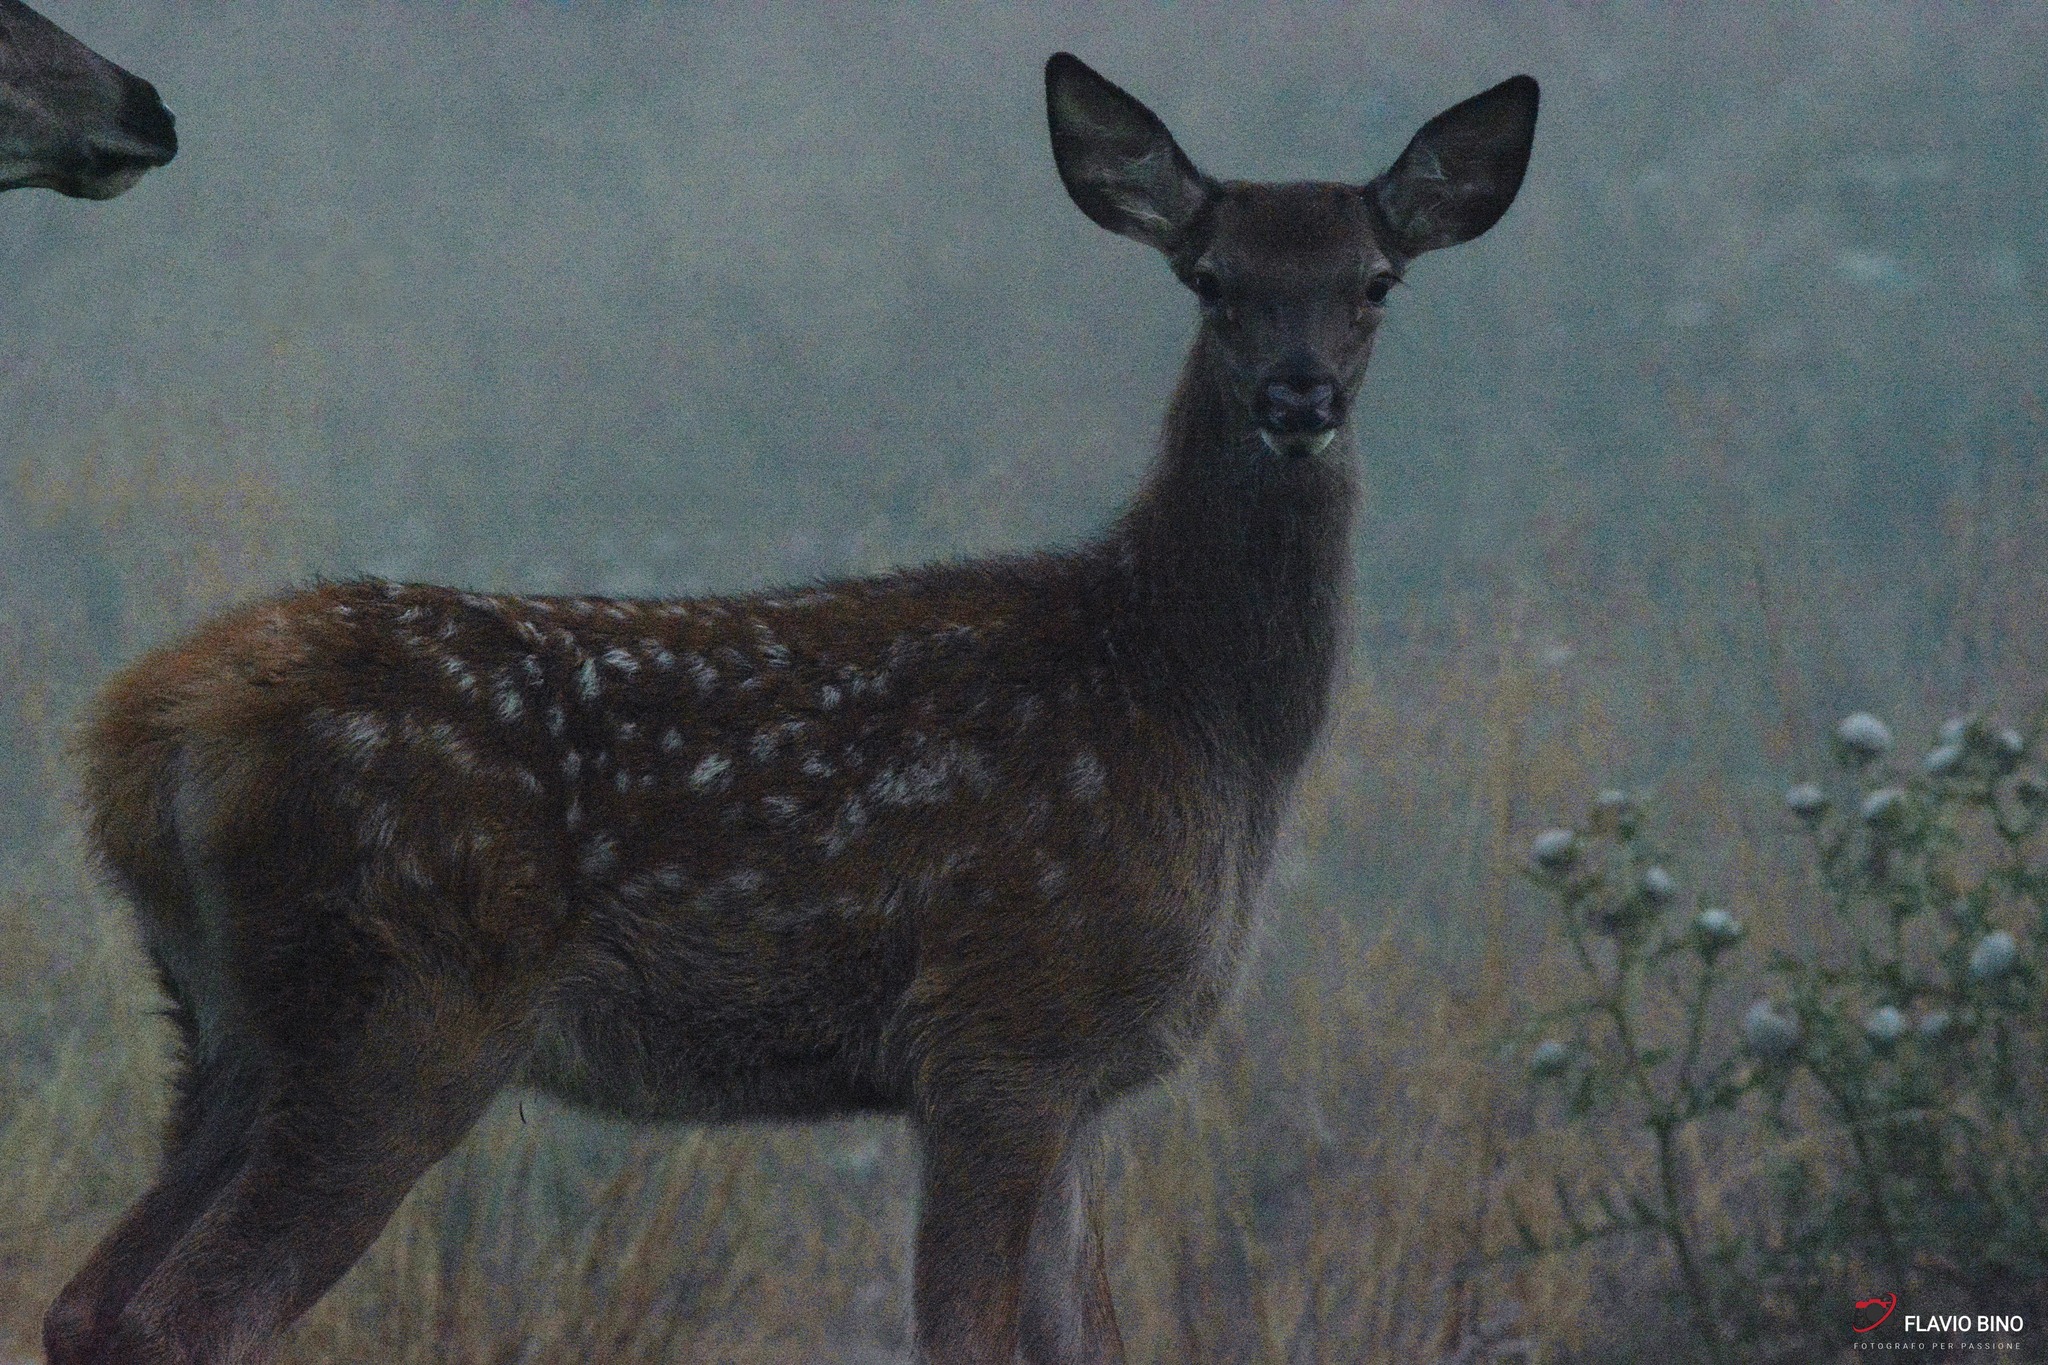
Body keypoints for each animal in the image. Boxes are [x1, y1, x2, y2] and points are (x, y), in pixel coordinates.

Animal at [43, 52, 1536, 1365]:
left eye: (1374, 282)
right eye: (1212, 281)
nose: (1300, 394)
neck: (1190, 707)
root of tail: (139, 731)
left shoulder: (1073, 1078)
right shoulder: (1000, 1022)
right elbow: (966, 1338)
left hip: (229, 1023)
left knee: (89, 1303)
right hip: (404, 1001)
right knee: (186, 1316)